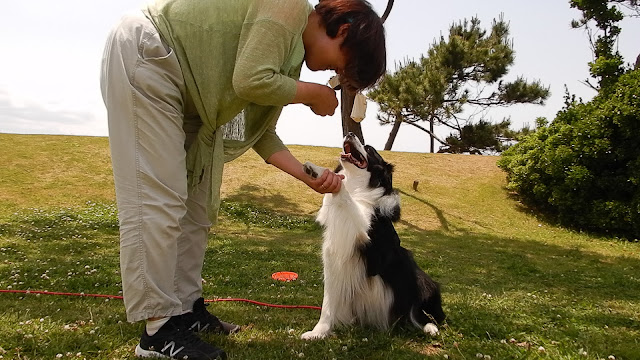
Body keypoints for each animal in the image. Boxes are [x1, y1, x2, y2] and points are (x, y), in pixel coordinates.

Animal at [302, 133, 444, 340]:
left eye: (369, 149)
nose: (350, 133)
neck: (358, 188)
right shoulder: (334, 259)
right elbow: (328, 304)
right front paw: (318, 332)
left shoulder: (363, 230)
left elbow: (343, 192)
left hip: (424, 281)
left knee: (426, 314)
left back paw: (430, 327)